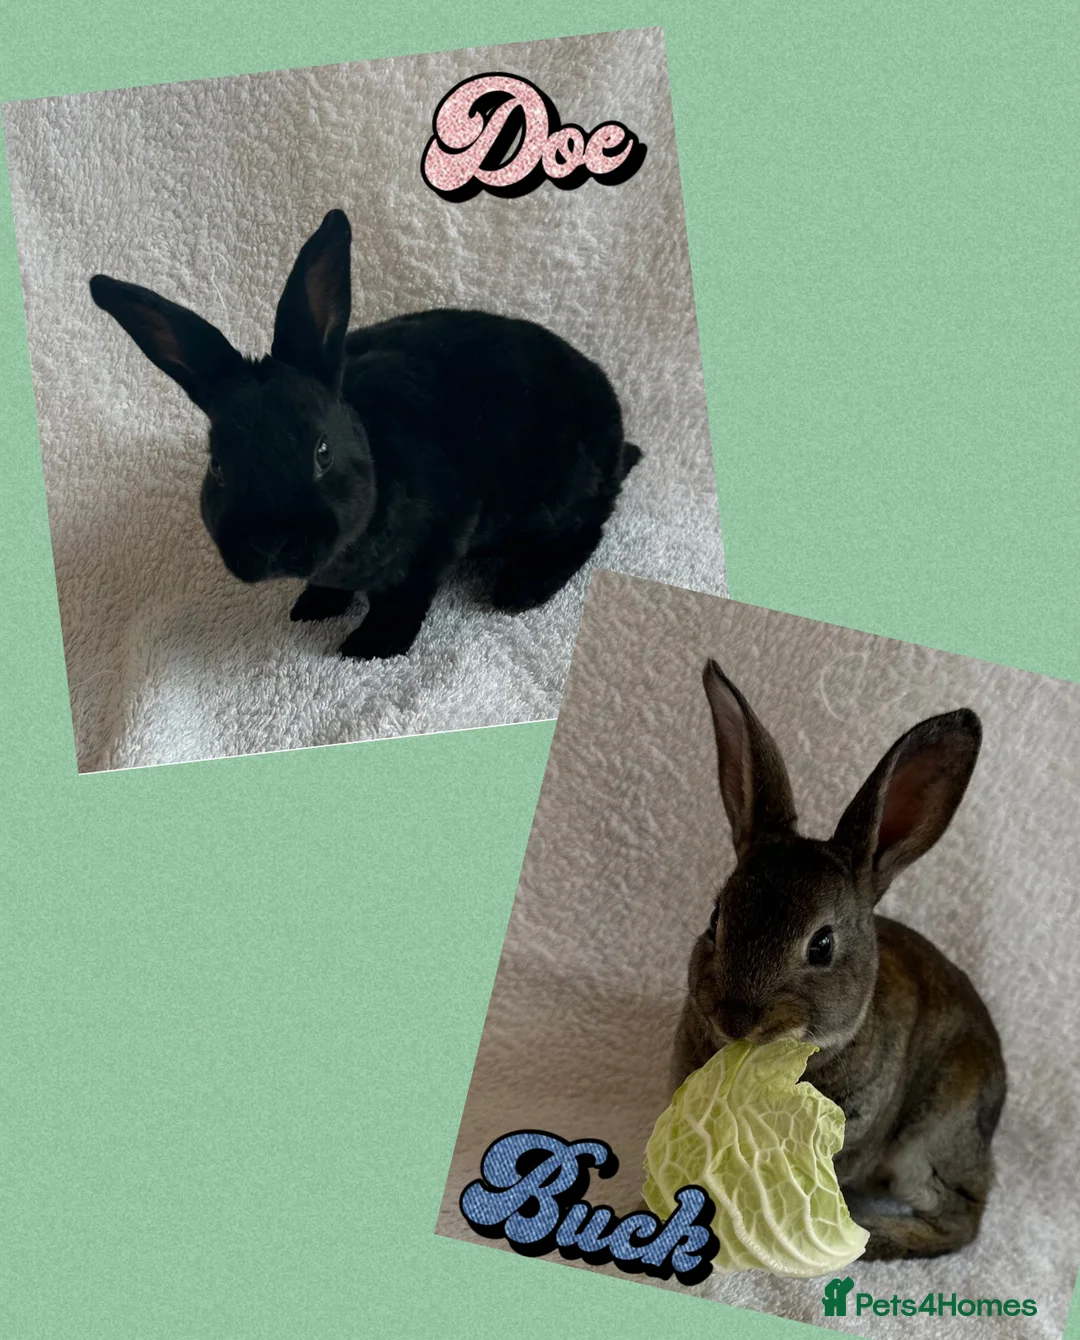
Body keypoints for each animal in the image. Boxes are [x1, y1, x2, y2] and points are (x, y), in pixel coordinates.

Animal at [88, 210, 642, 660]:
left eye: (323, 452)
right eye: (217, 466)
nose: (270, 544)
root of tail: (619, 436)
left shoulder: (435, 544)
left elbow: (401, 602)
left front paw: (369, 648)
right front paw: (313, 606)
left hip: (558, 501)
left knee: (586, 532)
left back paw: (521, 591)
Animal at [671, 660, 1006, 1262]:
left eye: (822, 946)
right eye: (715, 918)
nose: (736, 1017)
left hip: (934, 1138)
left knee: (960, 1220)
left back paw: (874, 1238)